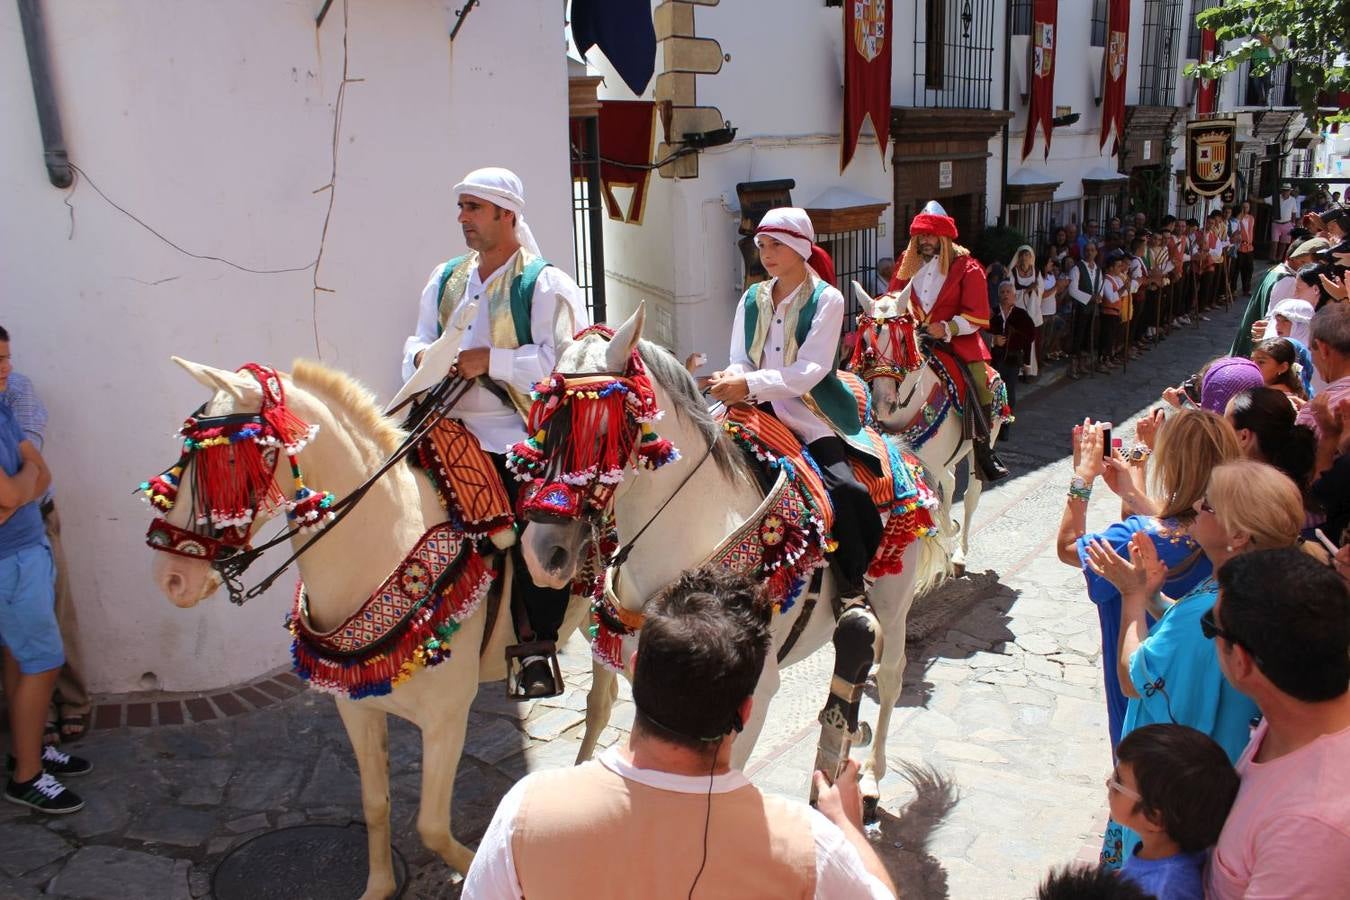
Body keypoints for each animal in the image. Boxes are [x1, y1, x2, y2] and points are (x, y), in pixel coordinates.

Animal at [146, 356, 591, 895]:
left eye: (230, 461)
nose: (172, 578)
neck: (386, 544)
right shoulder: (356, 708)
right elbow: (376, 805)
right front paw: (378, 886)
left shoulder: (446, 717)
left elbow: (431, 825)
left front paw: (476, 867)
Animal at [515, 306, 950, 814]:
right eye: (539, 424)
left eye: (602, 433)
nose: (542, 553)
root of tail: (894, 448)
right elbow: (601, 714)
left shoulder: (753, 696)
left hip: (895, 603)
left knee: (892, 676)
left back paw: (872, 779)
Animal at [853, 284, 1004, 574]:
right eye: (865, 343)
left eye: (902, 342)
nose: (883, 404)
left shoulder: (930, 466)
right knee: (952, 482)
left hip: (983, 442)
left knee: (970, 493)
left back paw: (959, 554)